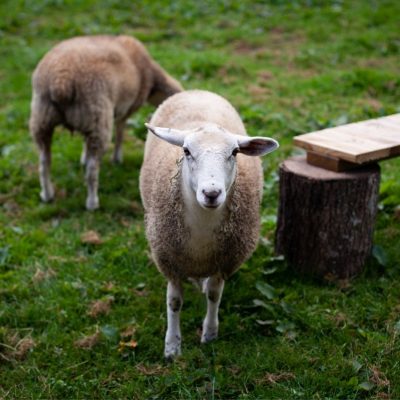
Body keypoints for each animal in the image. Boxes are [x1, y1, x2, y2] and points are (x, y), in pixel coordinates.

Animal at [29, 35, 183, 209]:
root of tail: (61, 82)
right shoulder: (125, 109)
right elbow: (120, 131)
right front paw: (117, 158)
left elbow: (86, 142)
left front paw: (83, 156)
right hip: (97, 117)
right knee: (92, 168)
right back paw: (92, 202)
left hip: (43, 119)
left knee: (44, 162)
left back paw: (47, 194)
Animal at [140, 90, 278, 360]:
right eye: (186, 151)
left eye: (235, 152)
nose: (211, 193)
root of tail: (197, 91)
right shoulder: (169, 261)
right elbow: (174, 302)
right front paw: (172, 346)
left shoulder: (224, 261)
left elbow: (215, 295)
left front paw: (210, 333)